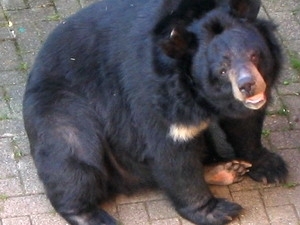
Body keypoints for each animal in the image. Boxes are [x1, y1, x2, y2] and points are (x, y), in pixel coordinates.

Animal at [22, 0, 286, 224]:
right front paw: (216, 211)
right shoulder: (155, 92)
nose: (248, 85)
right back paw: (91, 215)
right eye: (222, 69)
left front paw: (270, 166)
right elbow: (170, 150)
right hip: (62, 108)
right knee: (73, 157)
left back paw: (227, 169)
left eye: (254, 55)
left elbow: (245, 125)